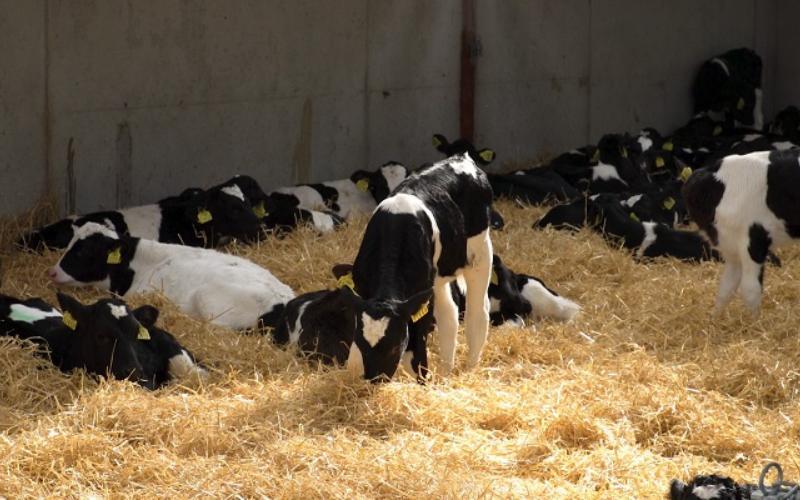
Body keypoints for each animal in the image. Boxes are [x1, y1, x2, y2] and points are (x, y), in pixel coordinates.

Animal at [344, 152, 494, 382]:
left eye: (395, 347)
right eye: (362, 343)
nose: (375, 379)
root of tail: (462, 158)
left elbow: (416, 349)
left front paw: (423, 379)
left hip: (480, 251)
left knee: (478, 313)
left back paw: (470, 367)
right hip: (438, 277)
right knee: (449, 315)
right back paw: (446, 369)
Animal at [682, 150, 800, 314]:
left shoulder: (753, 240)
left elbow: (750, 290)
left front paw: (755, 321)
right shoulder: (730, 247)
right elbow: (726, 288)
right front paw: (715, 317)